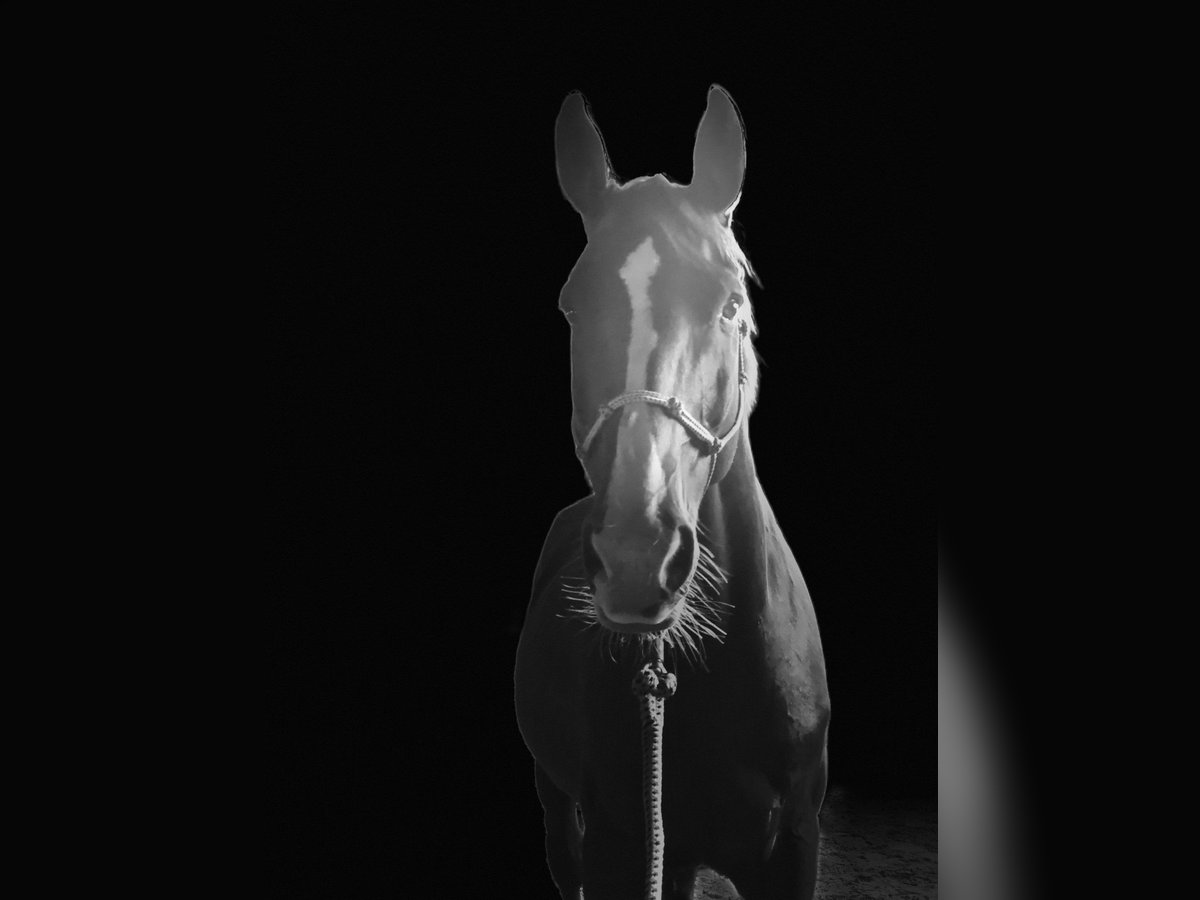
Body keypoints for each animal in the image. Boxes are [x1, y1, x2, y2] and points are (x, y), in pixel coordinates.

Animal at [511, 86, 830, 900]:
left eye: (730, 304)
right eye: (572, 306)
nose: (637, 558)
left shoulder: (793, 848)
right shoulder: (619, 845)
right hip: (558, 807)